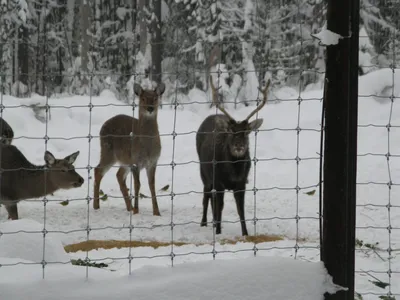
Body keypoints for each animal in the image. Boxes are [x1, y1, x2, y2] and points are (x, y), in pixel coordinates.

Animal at [93, 81, 165, 216]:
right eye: (143, 98)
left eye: (155, 98)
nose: (150, 108)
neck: (147, 148)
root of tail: (102, 126)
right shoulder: (136, 161)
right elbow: (137, 185)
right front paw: (137, 210)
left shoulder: (153, 162)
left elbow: (151, 184)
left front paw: (156, 212)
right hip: (107, 150)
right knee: (98, 170)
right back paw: (96, 206)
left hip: (124, 160)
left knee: (118, 175)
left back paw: (129, 207)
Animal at [195, 75, 270, 237]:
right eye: (231, 132)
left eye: (247, 132)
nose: (238, 146)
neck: (233, 173)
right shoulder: (218, 181)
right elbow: (220, 206)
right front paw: (218, 232)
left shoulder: (242, 183)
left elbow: (240, 210)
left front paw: (245, 233)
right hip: (204, 172)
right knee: (206, 196)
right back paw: (204, 223)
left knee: (212, 199)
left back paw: (212, 223)